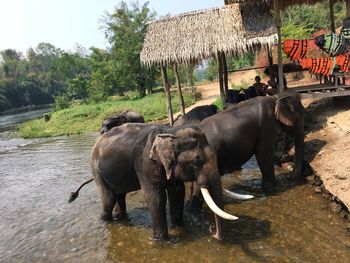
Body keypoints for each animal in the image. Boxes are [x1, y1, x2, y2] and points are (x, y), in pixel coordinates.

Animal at [69, 124, 238, 241]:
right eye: (196, 161)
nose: (211, 230)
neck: (170, 131)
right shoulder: (146, 165)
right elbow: (156, 198)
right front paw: (162, 241)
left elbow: (177, 193)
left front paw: (179, 226)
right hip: (96, 170)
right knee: (108, 198)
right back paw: (106, 221)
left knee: (119, 195)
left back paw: (120, 217)